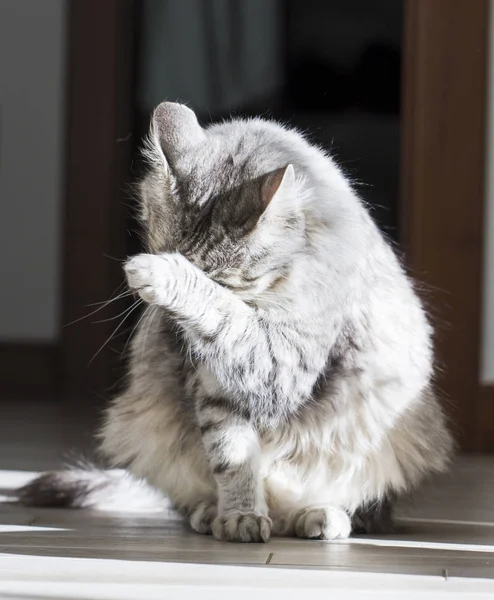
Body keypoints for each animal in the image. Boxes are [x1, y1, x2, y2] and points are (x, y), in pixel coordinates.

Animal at [17, 103, 454, 544]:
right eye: (161, 242)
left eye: (222, 281)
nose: (166, 315)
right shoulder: (213, 388)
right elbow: (232, 456)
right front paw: (240, 515)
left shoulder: (283, 363)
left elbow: (232, 324)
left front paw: (165, 276)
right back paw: (214, 512)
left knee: (352, 502)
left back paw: (319, 515)